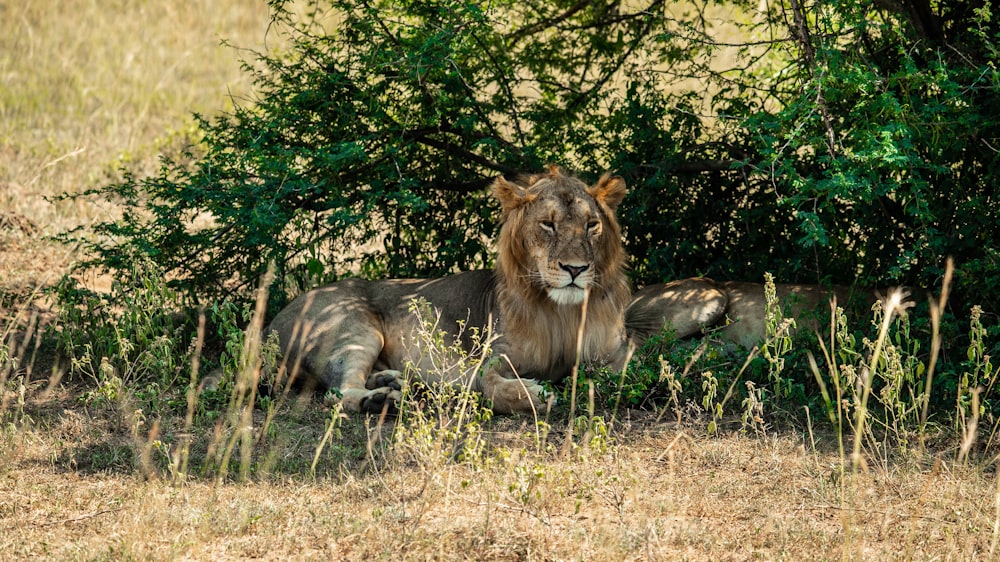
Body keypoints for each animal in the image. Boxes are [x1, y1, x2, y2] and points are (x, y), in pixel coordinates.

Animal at [270, 164, 628, 414]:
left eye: (591, 225)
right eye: (548, 225)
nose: (575, 269)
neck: (562, 313)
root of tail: (269, 325)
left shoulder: (617, 356)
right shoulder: (489, 360)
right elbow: (491, 385)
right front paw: (536, 394)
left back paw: (390, 381)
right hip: (354, 329)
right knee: (337, 394)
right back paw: (381, 400)